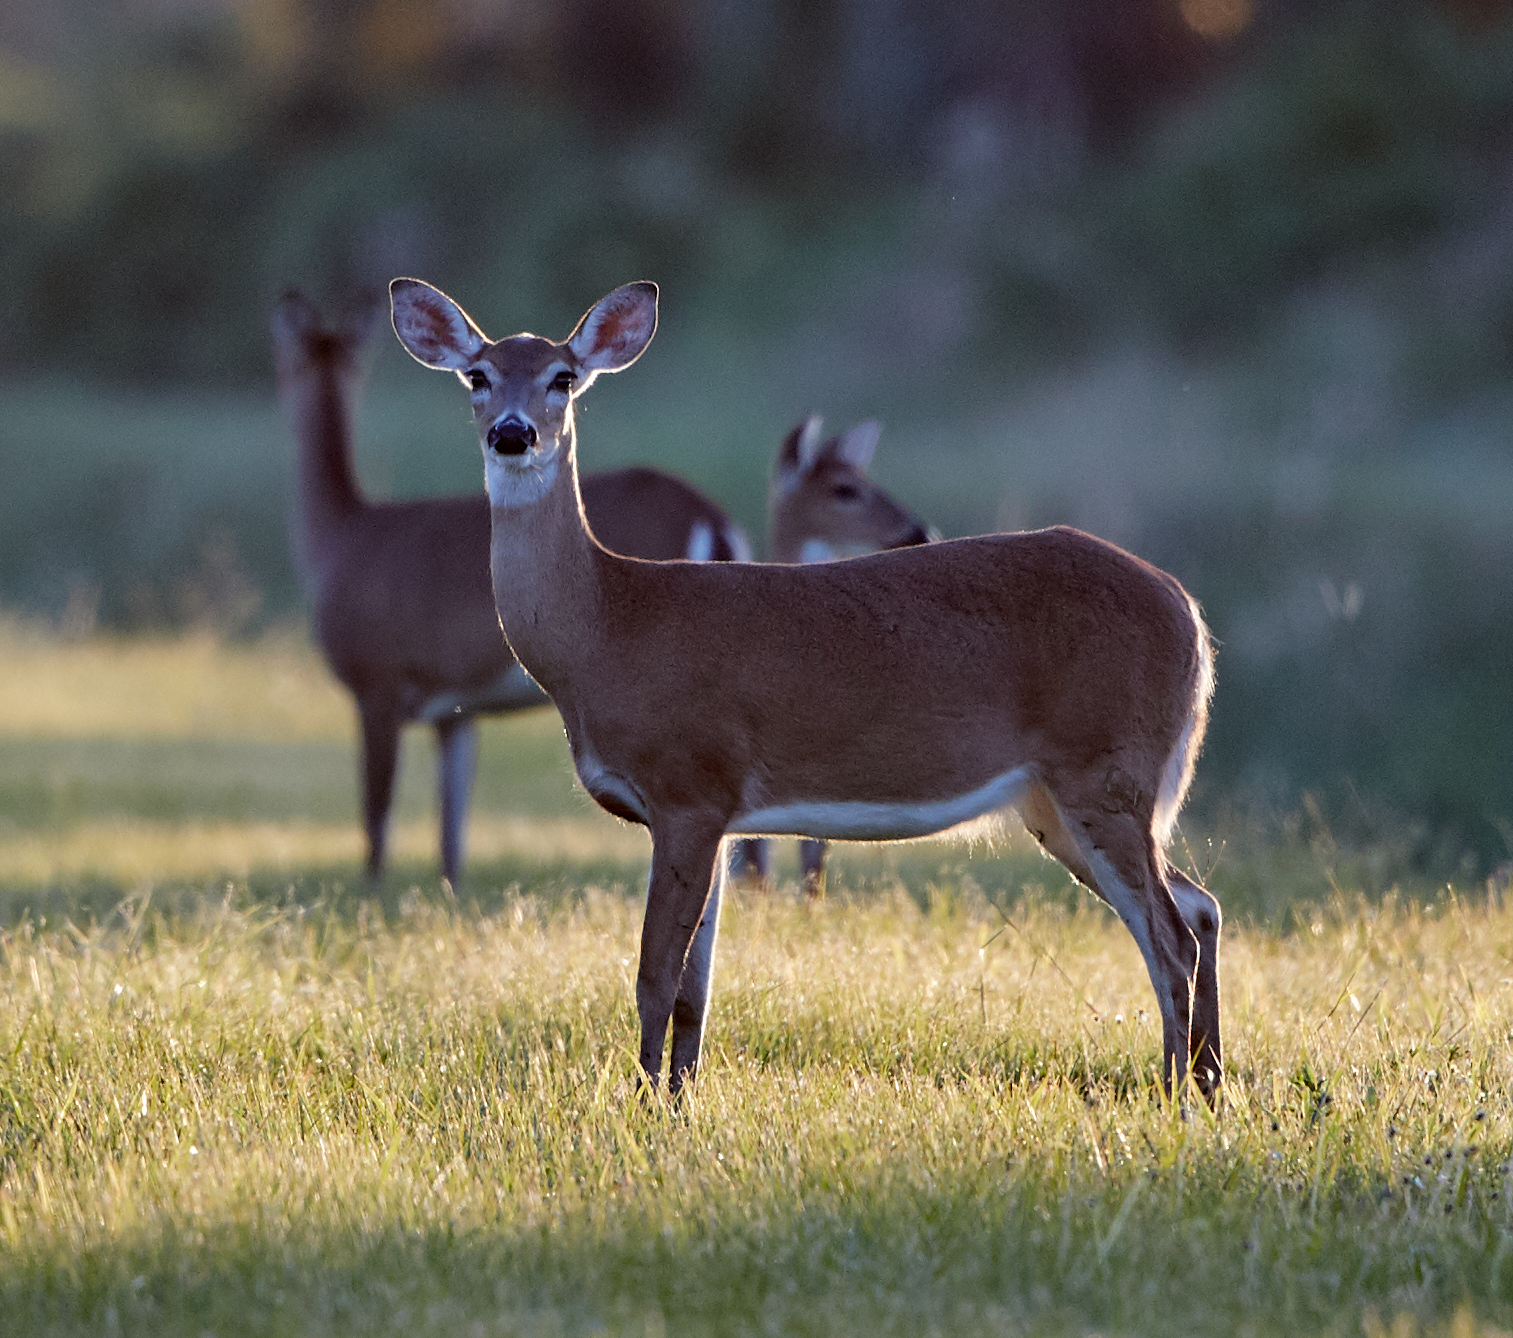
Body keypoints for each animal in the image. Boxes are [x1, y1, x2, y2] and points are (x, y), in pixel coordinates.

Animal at [270, 289, 751, 888]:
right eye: (476, 376)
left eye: (282, 360)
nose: (512, 433)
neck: (339, 536)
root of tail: (709, 514)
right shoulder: (455, 711)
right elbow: (450, 835)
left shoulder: (376, 683)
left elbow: (376, 824)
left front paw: (371, 894)